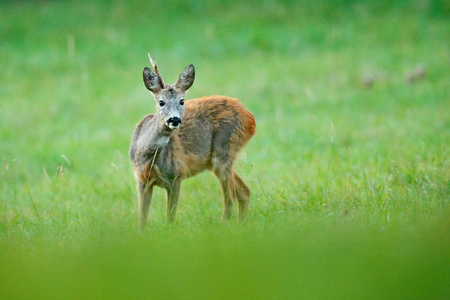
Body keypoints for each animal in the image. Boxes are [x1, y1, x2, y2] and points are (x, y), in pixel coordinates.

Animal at [130, 54, 256, 229]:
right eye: (161, 102)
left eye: (182, 101)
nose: (175, 119)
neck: (146, 155)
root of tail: (250, 118)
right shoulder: (141, 180)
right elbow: (142, 220)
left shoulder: (176, 175)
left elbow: (170, 217)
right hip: (216, 161)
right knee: (244, 192)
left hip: (225, 149)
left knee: (230, 199)